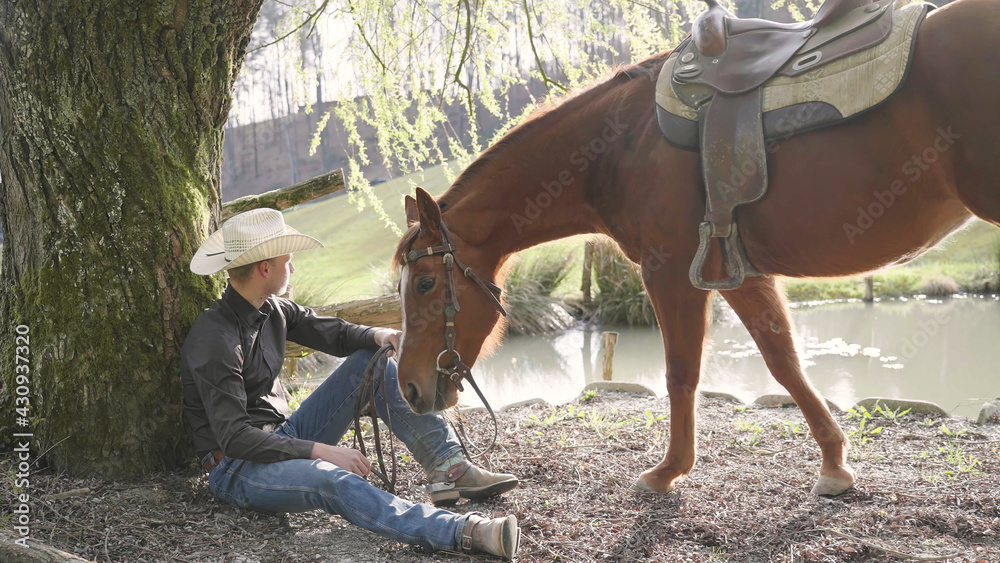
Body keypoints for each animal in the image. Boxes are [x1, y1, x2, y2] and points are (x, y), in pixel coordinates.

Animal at [391, 0, 1000, 496]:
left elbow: (681, 373)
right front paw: (834, 464)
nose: (410, 389)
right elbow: (784, 363)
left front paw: (668, 472)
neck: (616, 144)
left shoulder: (669, 274)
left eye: (425, 283)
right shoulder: (746, 278)